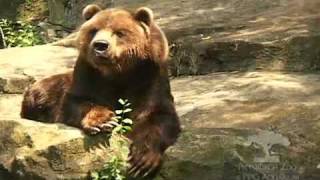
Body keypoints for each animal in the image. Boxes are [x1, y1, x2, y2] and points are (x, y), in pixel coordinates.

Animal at [19, 3, 180, 179]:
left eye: (119, 32)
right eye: (94, 30)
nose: (100, 45)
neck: (118, 72)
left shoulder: (150, 77)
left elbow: (158, 115)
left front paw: (143, 159)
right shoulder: (87, 74)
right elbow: (76, 102)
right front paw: (103, 121)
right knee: (41, 93)